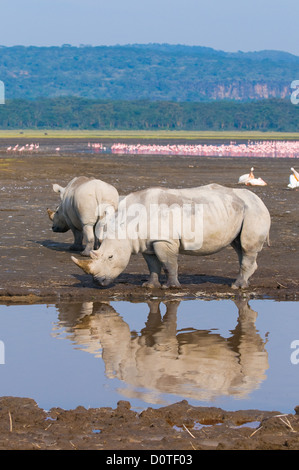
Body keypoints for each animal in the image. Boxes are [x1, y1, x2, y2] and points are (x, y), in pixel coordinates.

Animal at [72, 183, 272, 286]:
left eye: (111, 257)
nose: (98, 281)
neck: (127, 225)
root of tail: (260, 200)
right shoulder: (146, 241)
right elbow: (152, 264)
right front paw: (150, 286)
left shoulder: (164, 240)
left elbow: (168, 263)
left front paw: (171, 287)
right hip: (240, 210)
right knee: (239, 246)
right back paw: (242, 283)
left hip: (254, 210)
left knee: (246, 247)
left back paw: (237, 286)